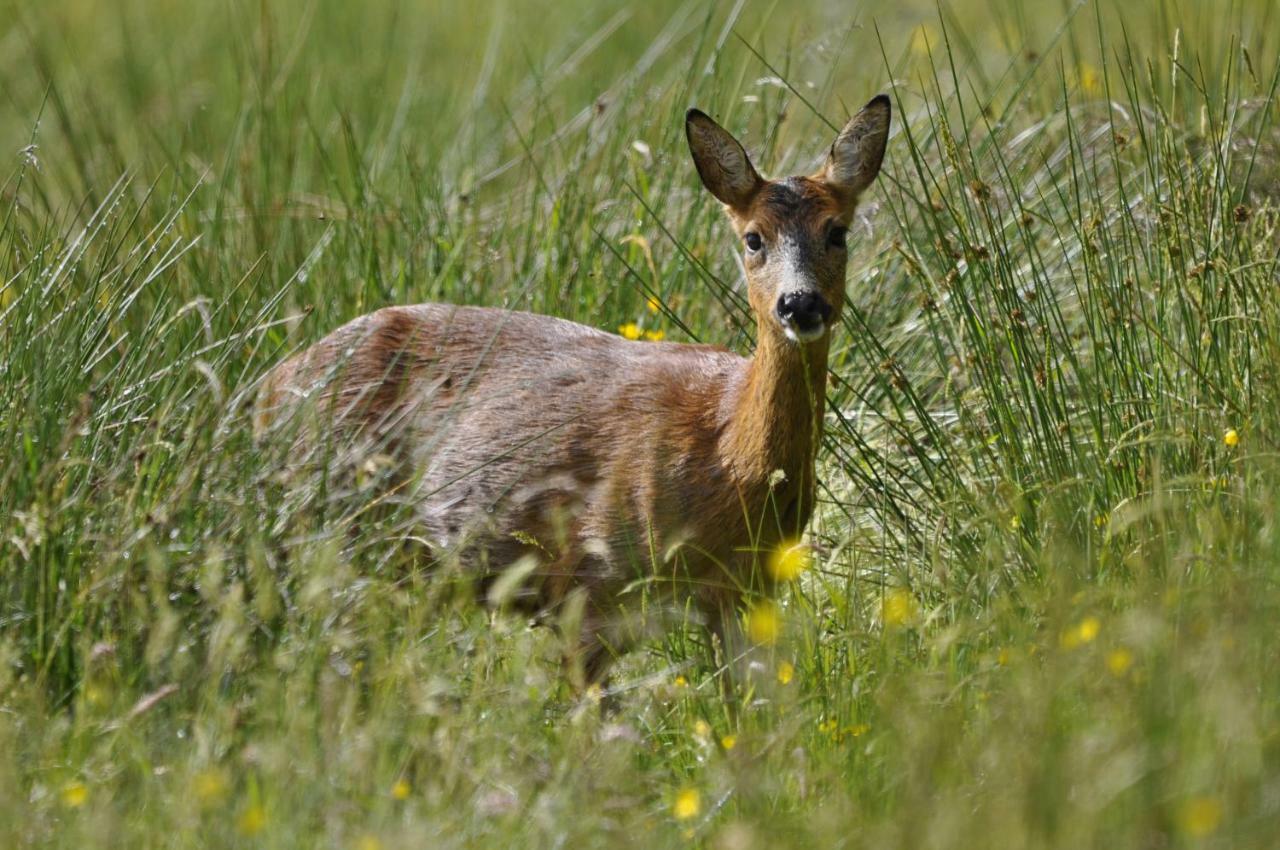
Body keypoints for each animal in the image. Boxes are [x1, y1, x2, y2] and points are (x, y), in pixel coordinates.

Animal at [252, 92, 890, 691]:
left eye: (837, 231)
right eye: (754, 238)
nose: (800, 303)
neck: (728, 452)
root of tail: (267, 388)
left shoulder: (745, 596)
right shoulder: (589, 589)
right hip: (335, 519)